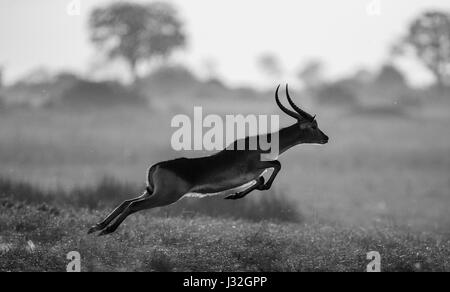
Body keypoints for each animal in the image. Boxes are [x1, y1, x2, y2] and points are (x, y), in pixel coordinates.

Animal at [88, 84, 328, 235]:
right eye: (313, 126)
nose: (326, 138)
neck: (264, 143)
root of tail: (156, 166)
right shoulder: (257, 165)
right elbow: (275, 167)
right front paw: (237, 194)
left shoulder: (254, 174)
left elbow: (259, 182)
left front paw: (233, 195)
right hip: (165, 197)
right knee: (133, 205)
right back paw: (107, 230)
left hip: (151, 191)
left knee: (126, 201)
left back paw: (96, 226)